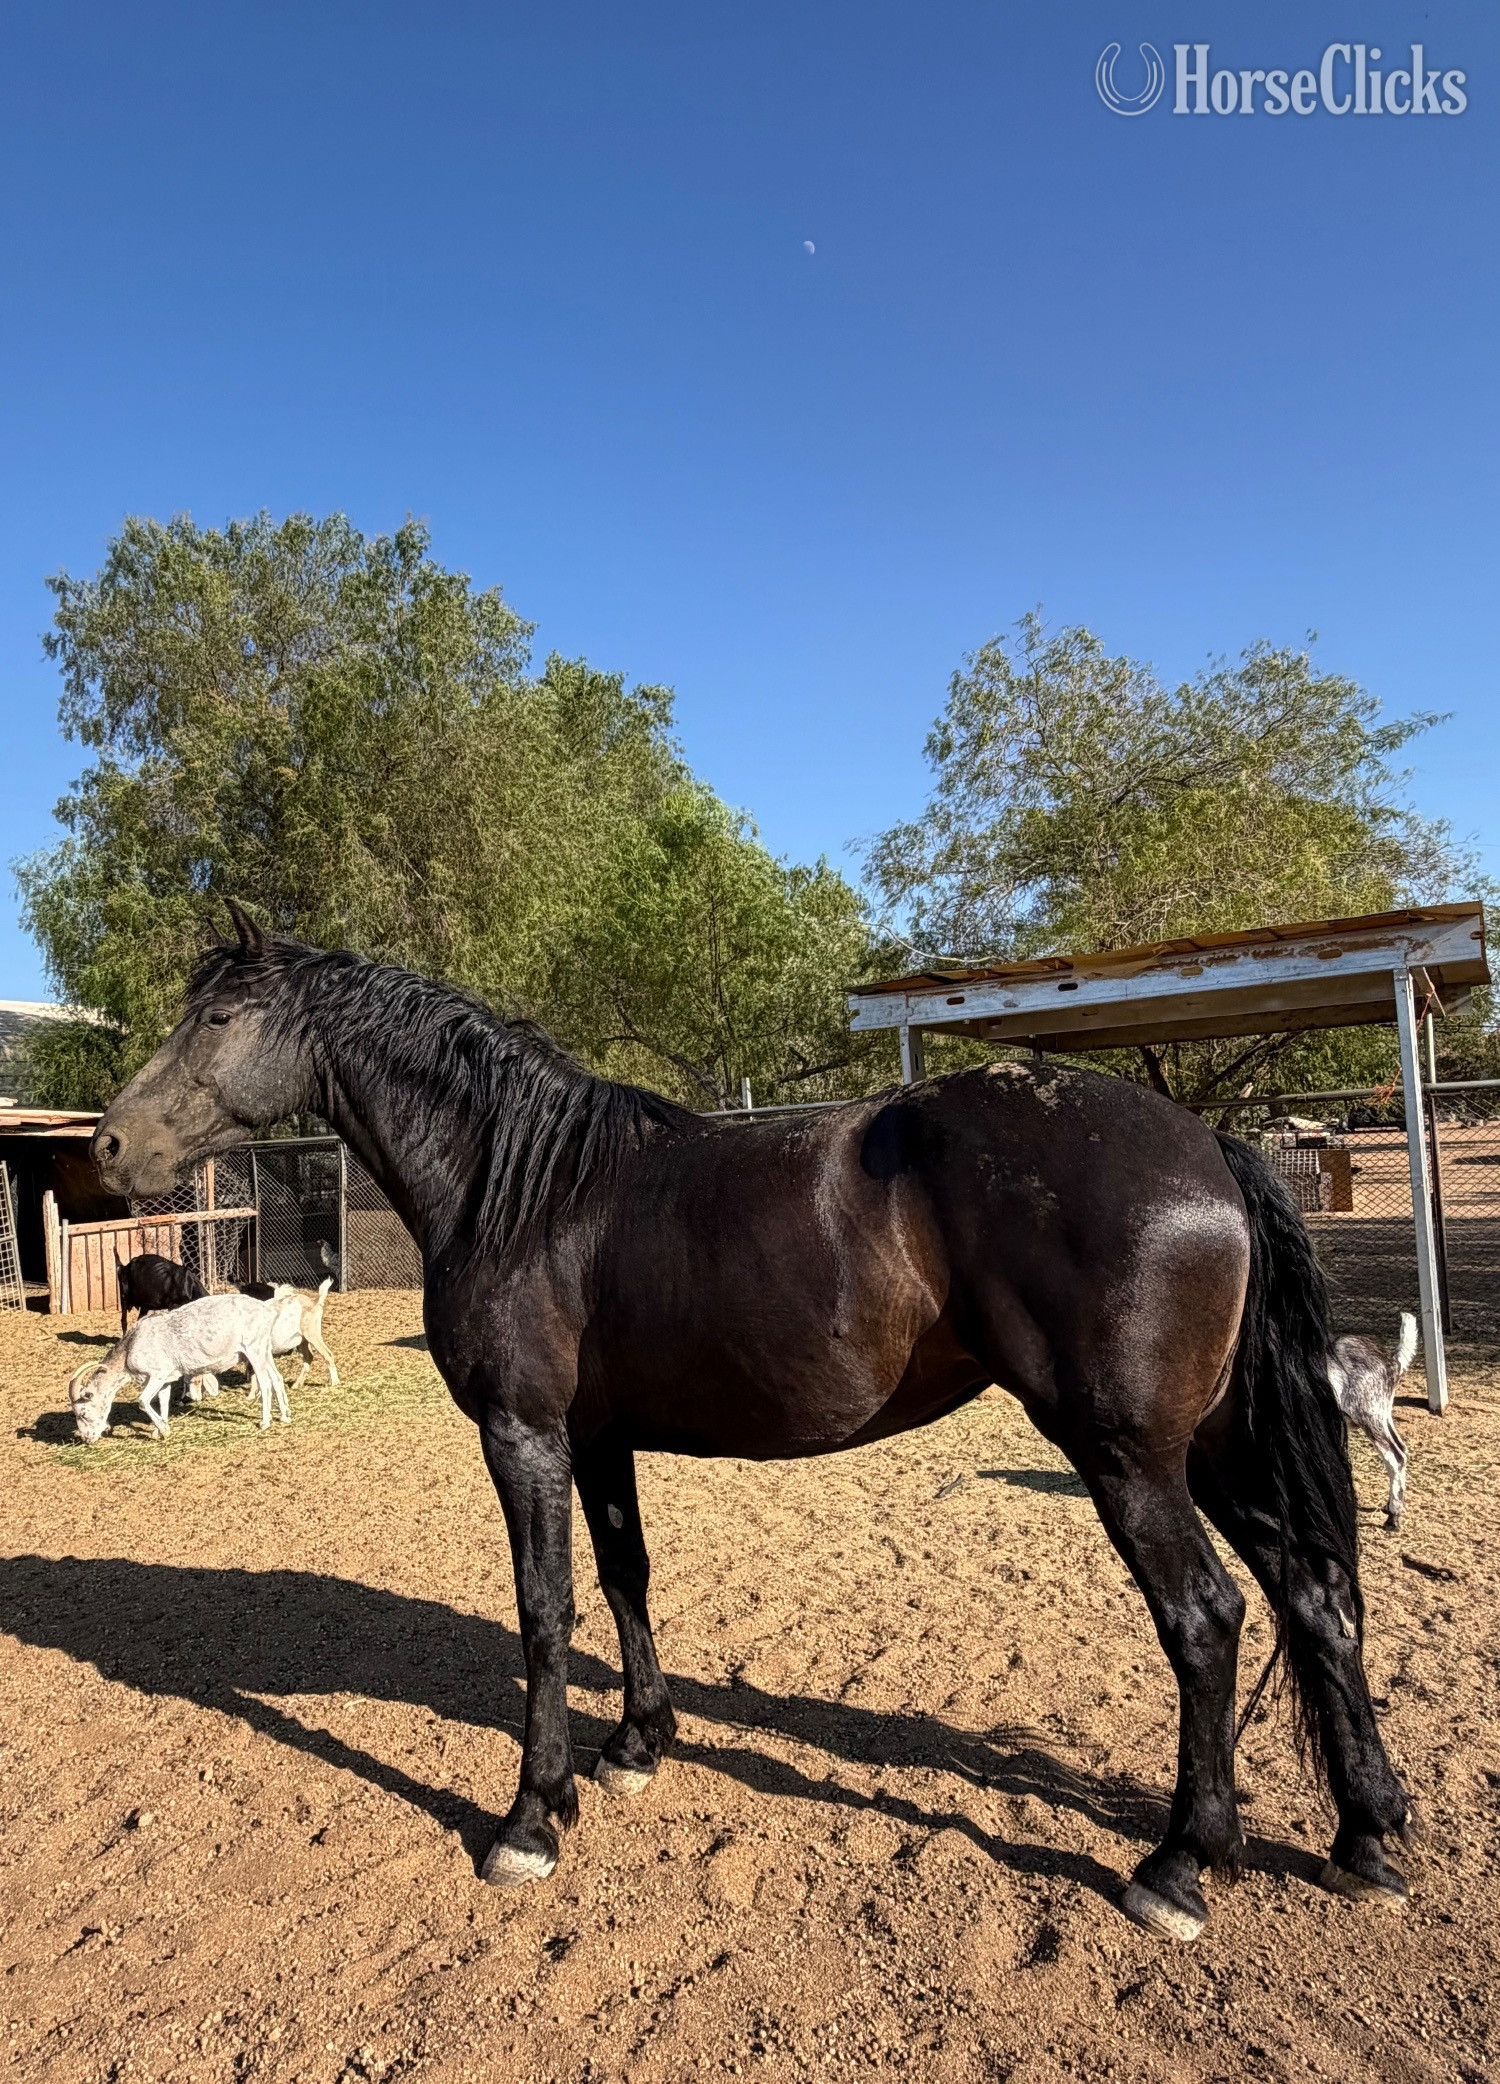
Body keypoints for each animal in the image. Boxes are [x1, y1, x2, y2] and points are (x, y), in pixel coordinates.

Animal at [90, 902, 1417, 1939]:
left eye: (219, 1019)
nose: (106, 1141)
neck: (524, 1186)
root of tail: (1203, 1144)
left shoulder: (524, 1433)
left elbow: (543, 1608)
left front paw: (531, 1815)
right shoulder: (601, 1438)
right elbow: (624, 1575)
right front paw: (636, 1745)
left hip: (1129, 1453)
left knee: (1209, 1616)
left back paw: (1182, 1863)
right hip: (1214, 1441)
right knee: (1314, 1591)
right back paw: (1367, 1835)